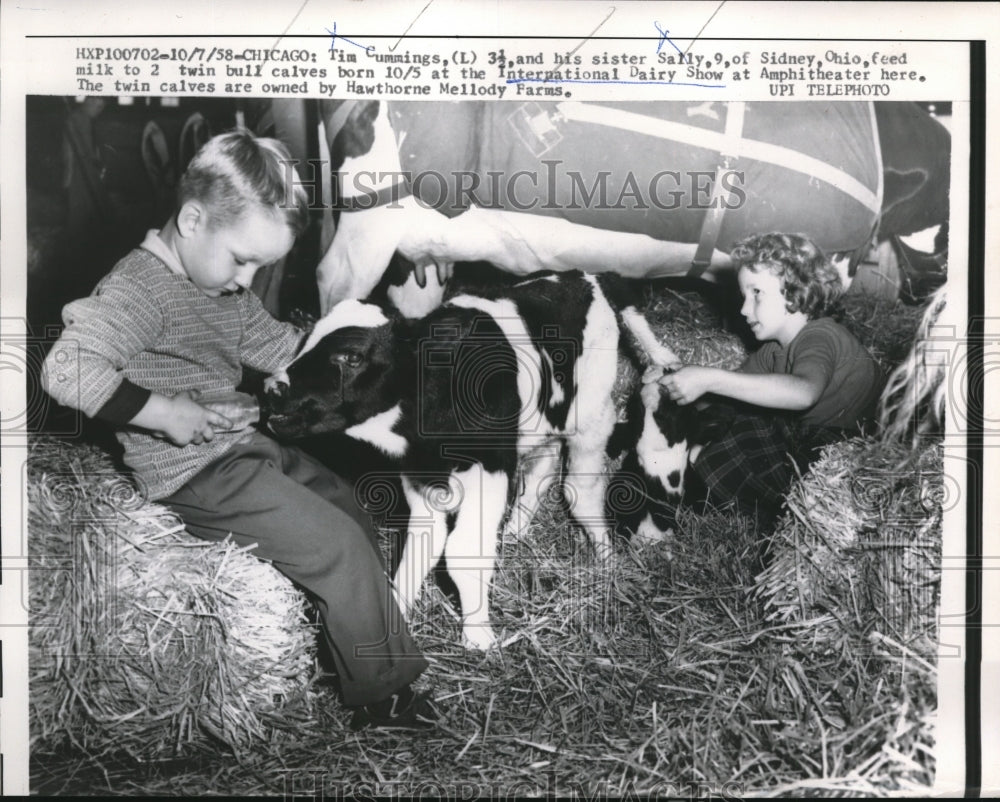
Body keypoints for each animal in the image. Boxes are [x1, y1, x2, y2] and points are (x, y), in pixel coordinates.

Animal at [266, 268, 684, 648]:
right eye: (306, 339)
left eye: (351, 356)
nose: (273, 388)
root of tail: (587, 276)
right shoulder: (421, 478)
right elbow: (421, 547)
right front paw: (396, 612)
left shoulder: (489, 470)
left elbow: (462, 552)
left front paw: (479, 636)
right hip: (539, 422)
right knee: (543, 469)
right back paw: (515, 529)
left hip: (591, 417)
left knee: (581, 490)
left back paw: (606, 560)